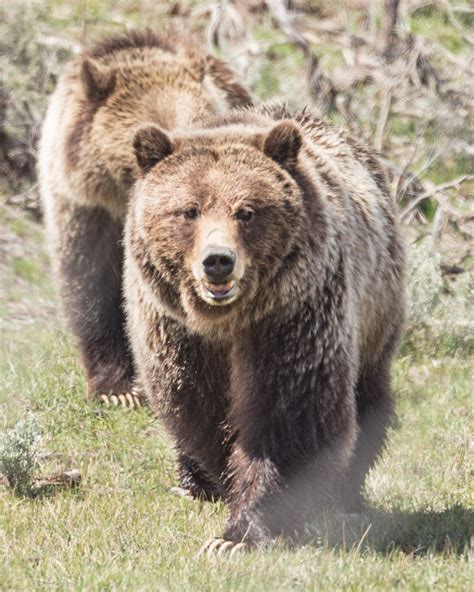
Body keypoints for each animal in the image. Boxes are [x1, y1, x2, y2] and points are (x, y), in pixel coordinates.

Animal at [124, 103, 406, 552]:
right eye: (189, 210)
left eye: (246, 211)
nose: (218, 260)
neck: (227, 320)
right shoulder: (177, 333)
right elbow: (197, 406)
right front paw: (224, 487)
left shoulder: (292, 313)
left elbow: (288, 410)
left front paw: (241, 532)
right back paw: (193, 482)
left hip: (376, 309)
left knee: (366, 399)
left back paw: (343, 495)